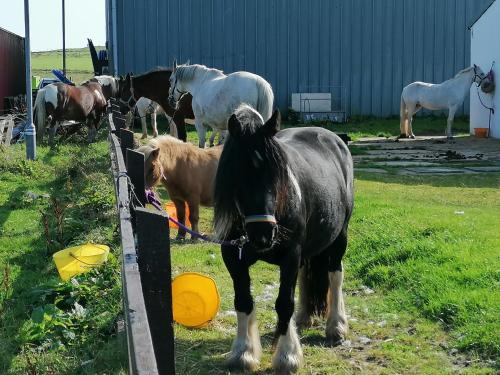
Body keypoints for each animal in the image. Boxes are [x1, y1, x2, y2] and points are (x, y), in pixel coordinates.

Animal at [213, 104, 354, 374]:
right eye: (237, 175)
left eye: (278, 176)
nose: (263, 235)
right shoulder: (233, 258)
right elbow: (243, 301)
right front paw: (243, 353)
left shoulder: (290, 255)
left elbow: (283, 303)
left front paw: (287, 356)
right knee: (306, 273)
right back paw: (304, 316)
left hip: (339, 237)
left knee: (335, 274)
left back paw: (336, 326)